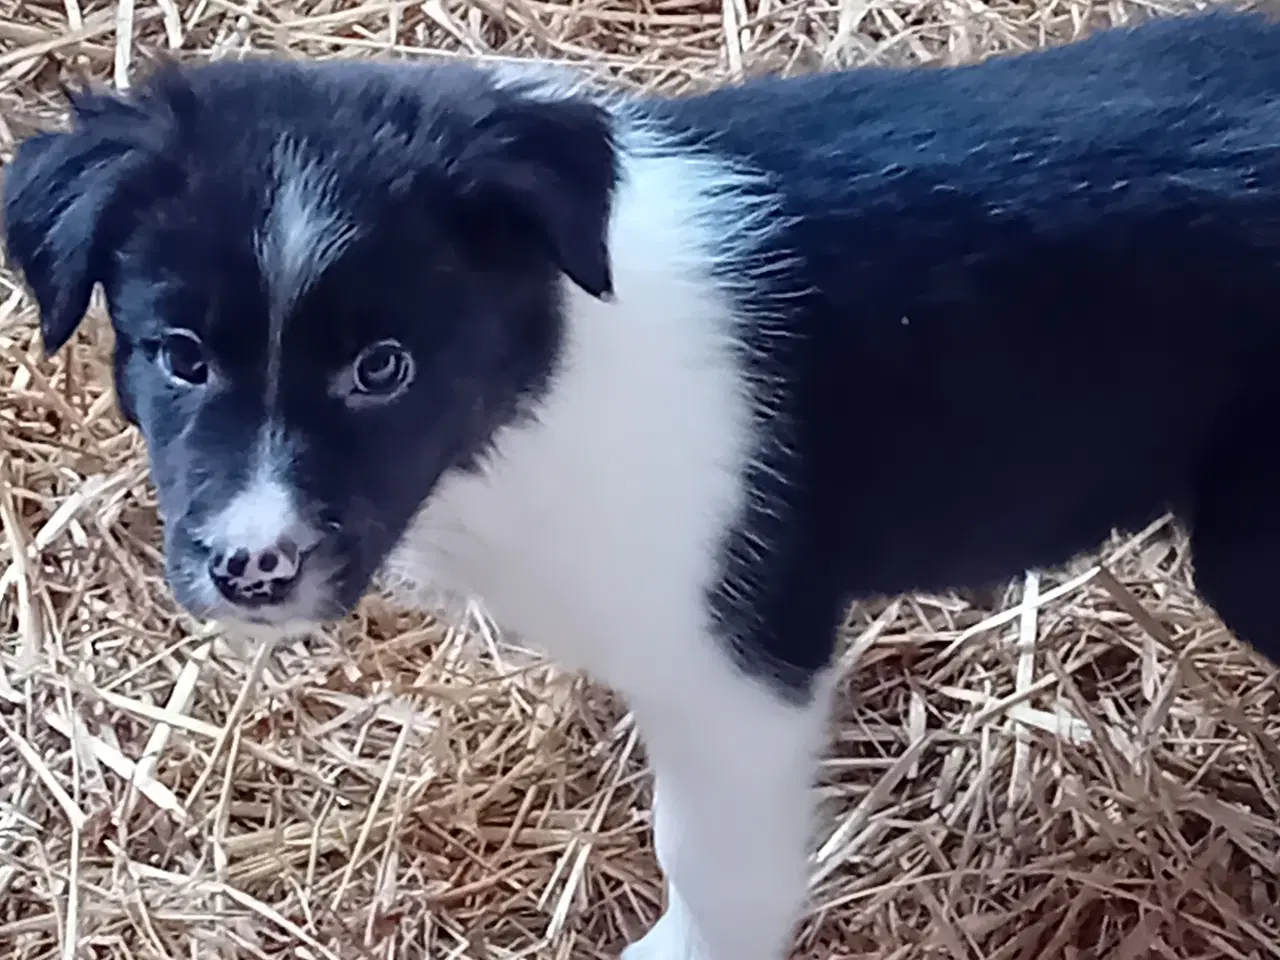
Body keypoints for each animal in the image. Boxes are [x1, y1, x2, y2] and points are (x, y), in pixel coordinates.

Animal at [7, 9, 1280, 960]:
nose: (251, 569)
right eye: (180, 355)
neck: (547, 370)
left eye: (383, 368)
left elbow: (711, 858)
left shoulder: (736, 668)